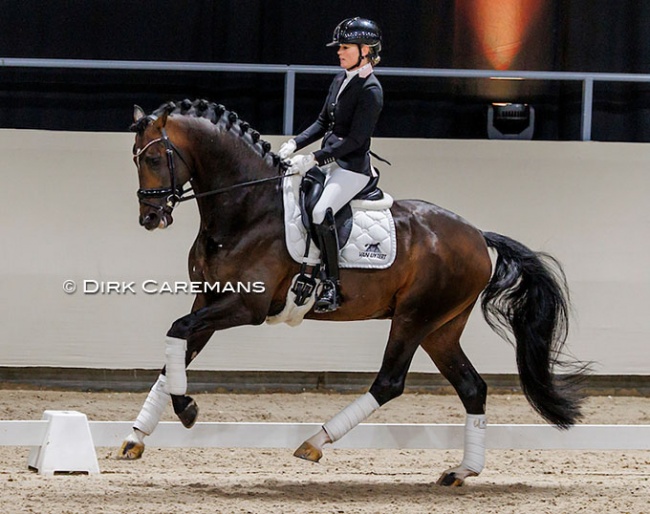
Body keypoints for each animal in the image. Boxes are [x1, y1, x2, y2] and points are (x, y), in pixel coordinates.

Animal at [119, 99, 584, 484]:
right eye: (135, 158)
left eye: (156, 157)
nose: (151, 217)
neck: (247, 207)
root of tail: (477, 236)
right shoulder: (209, 298)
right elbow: (176, 348)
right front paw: (138, 435)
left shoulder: (246, 305)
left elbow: (178, 331)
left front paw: (187, 410)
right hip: (441, 328)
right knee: (473, 387)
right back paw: (461, 472)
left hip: (414, 318)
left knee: (390, 382)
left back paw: (315, 443)